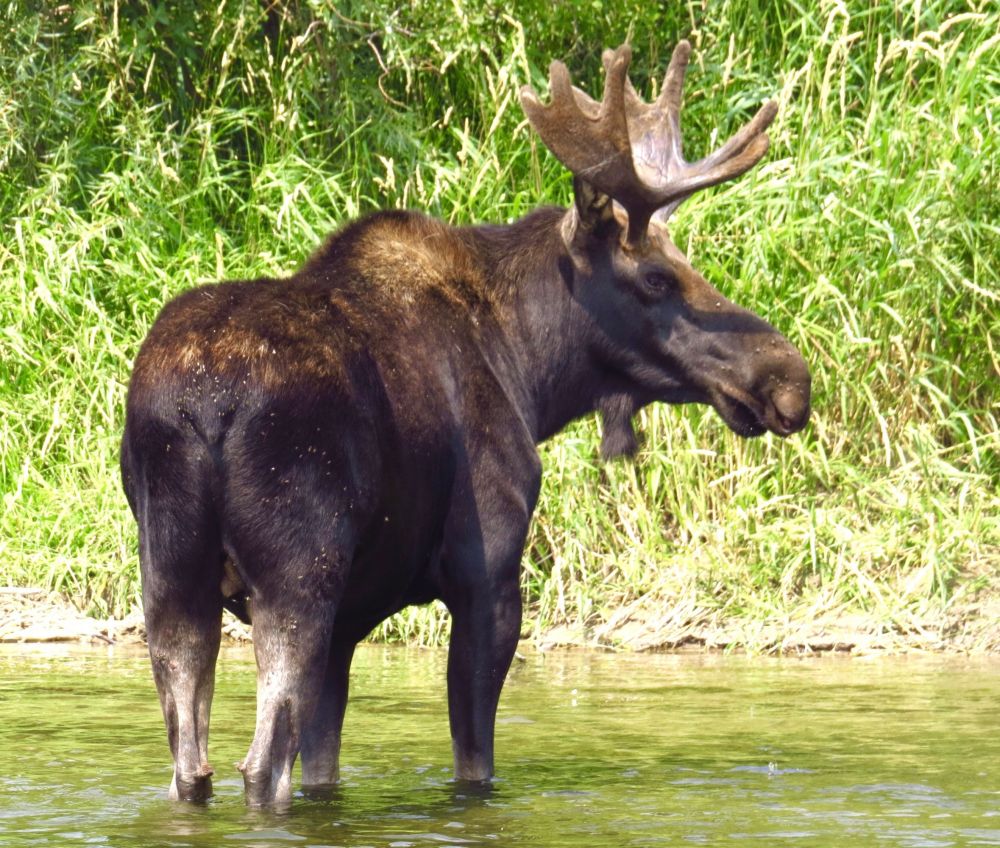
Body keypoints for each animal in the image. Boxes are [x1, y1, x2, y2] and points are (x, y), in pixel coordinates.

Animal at [120, 41, 810, 807]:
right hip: (298, 575)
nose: (788, 379)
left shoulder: (351, 621)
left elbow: (326, 765)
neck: (531, 371)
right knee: (261, 764)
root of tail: (203, 408)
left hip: (169, 578)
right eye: (657, 277)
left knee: (191, 765)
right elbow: (473, 762)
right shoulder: (488, 579)